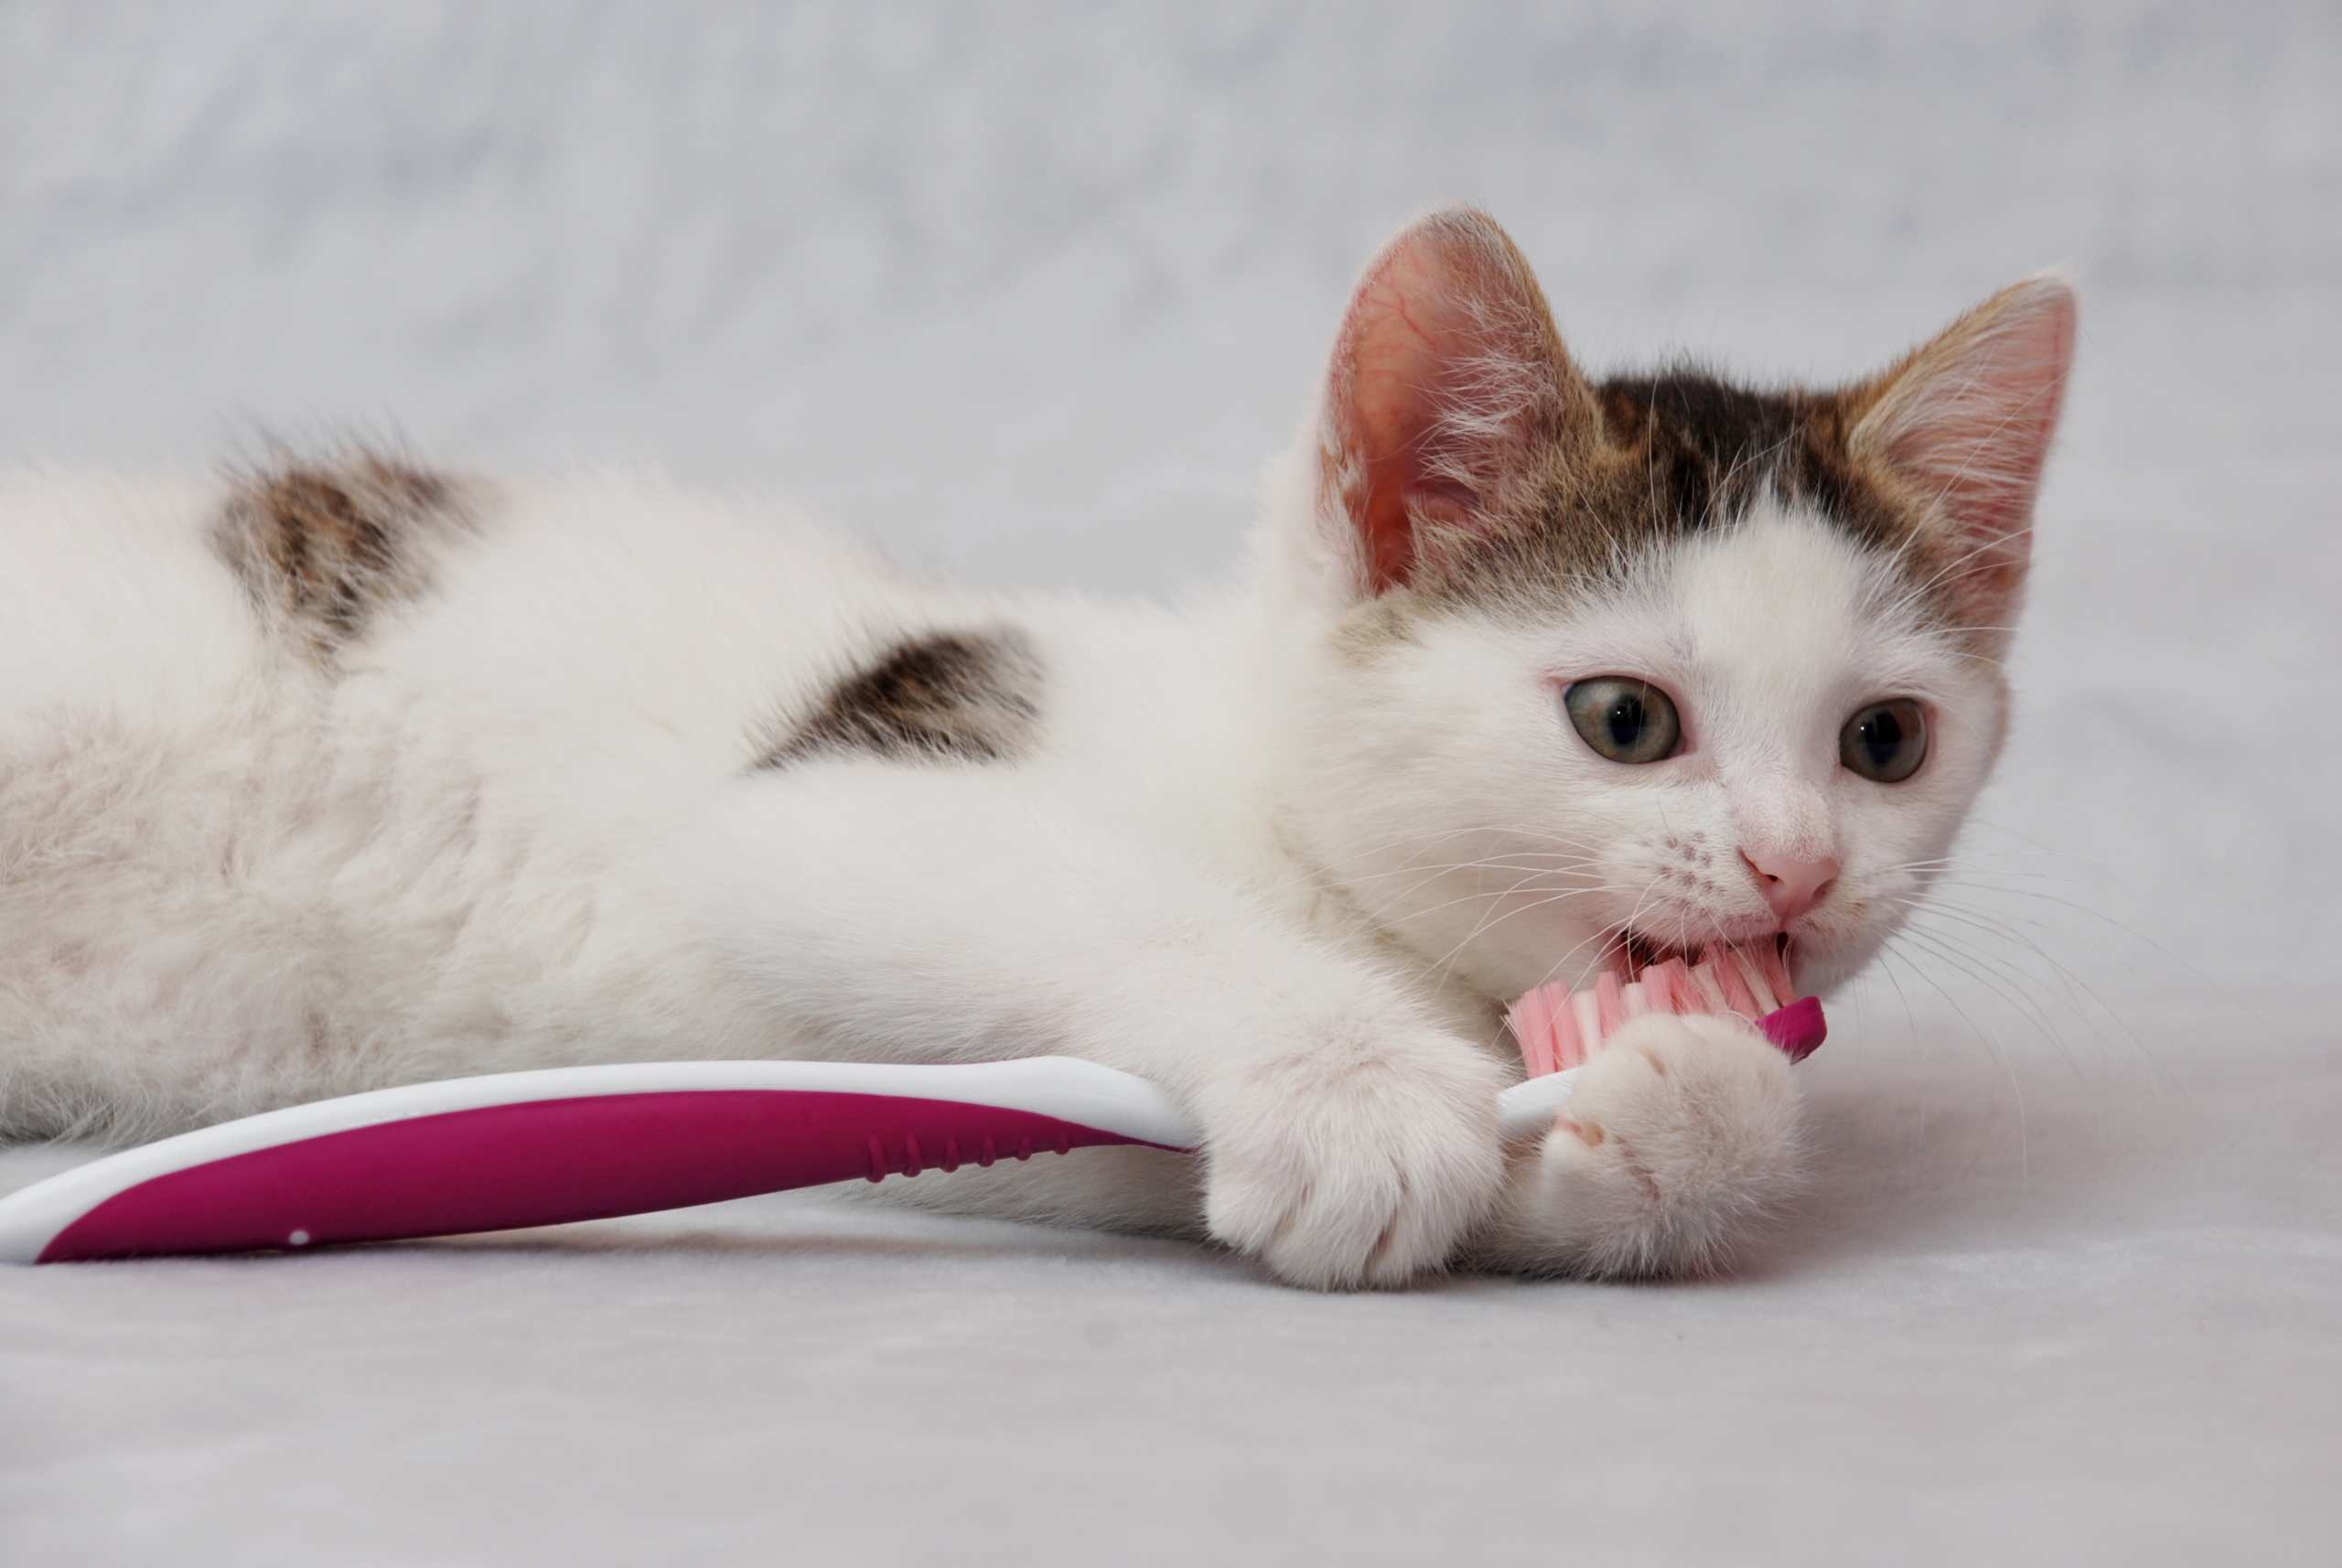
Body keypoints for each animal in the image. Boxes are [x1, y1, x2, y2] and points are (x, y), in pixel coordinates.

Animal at [9, 208, 2079, 1292]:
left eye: (1885, 739)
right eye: (1625, 719)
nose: (1798, 862)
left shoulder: (1001, 1131)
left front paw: (1678, 1106)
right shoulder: (847, 789)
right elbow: (1091, 904)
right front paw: (1351, 1077)